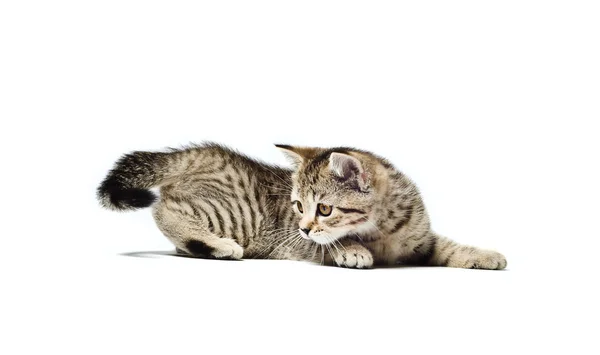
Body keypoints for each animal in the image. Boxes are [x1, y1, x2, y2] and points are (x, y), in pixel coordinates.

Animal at [97, 143, 506, 270]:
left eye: (323, 209)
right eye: (297, 206)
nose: (304, 227)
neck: (386, 229)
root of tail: (204, 153)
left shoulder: (422, 239)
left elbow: (451, 247)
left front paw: (485, 255)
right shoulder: (301, 241)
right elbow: (330, 244)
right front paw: (352, 249)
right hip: (236, 213)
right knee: (164, 208)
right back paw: (219, 245)